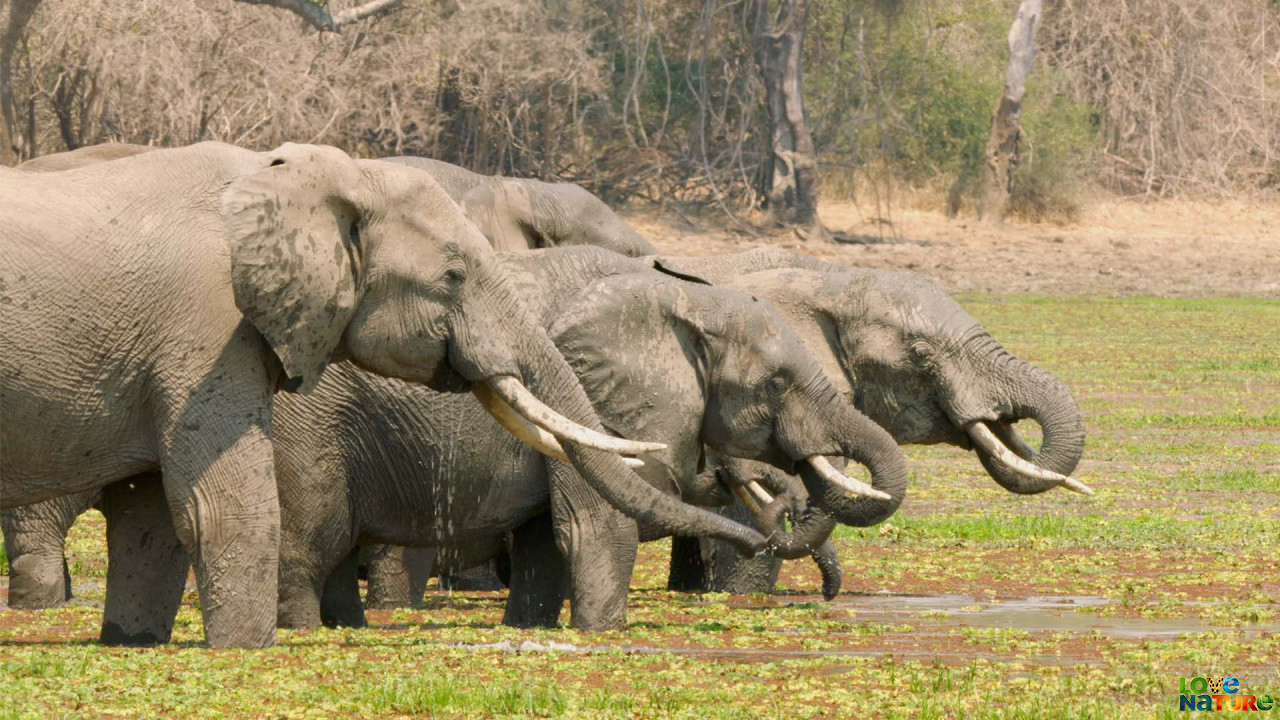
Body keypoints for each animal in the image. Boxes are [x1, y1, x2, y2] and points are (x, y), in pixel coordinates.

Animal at [0, 141, 757, 645]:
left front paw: (135, 643)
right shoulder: (204, 326)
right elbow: (221, 506)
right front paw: (249, 652)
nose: (761, 538)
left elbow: (150, 519)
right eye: (454, 275)